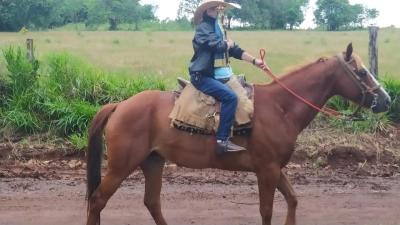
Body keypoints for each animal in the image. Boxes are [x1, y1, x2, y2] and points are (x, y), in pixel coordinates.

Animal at [85, 44, 390, 225]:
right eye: (361, 72)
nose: (386, 100)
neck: (280, 107)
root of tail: (120, 105)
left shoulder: (275, 168)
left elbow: (292, 199)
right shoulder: (267, 170)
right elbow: (267, 209)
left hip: (152, 161)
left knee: (151, 202)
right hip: (122, 164)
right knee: (98, 200)